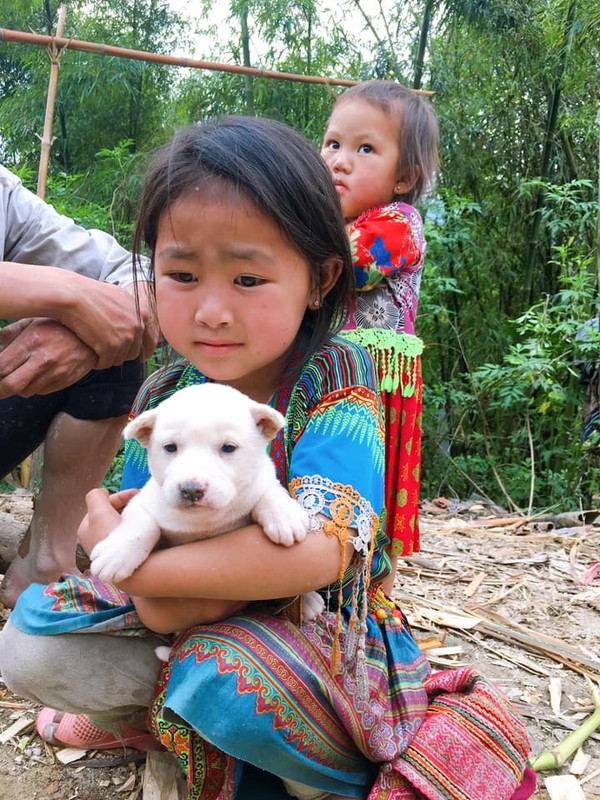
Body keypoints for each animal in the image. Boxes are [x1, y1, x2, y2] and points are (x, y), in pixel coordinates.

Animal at [89, 384, 324, 620]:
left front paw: (285, 517)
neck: (204, 521)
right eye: (170, 447)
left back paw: (308, 601)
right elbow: (142, 524)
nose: (191, 490)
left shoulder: (262, 481)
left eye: (228, 447)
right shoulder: (141, 501)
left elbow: (269, 492)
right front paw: (117, 553)